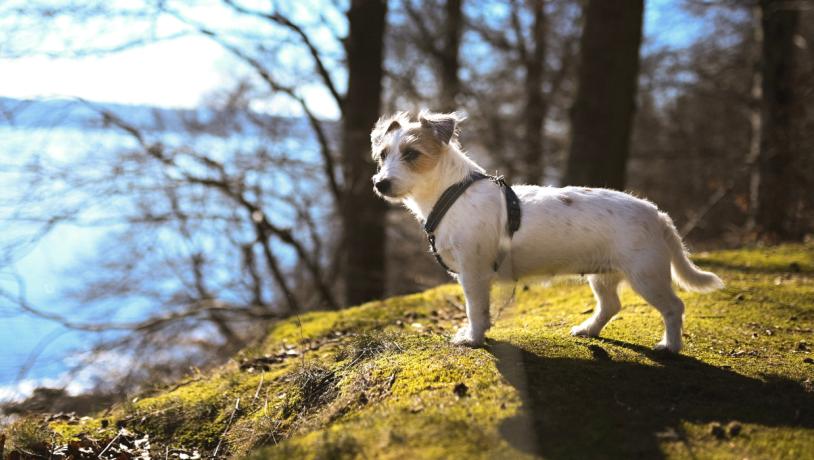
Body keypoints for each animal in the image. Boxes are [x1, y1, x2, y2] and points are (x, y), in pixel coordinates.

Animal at [372, 110, 724, 352]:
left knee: (674, 307)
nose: (380, 184)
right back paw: (588, 329)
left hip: (646, 275)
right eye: (383, 155)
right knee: (611, 305)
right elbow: (482, 310)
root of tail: (658, 215)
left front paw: (473, 337)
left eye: (412, 154)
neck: (451, 192)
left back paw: (671, 346)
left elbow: (474, 308)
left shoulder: (474, 272)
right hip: (604, 275)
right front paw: (479, 331)